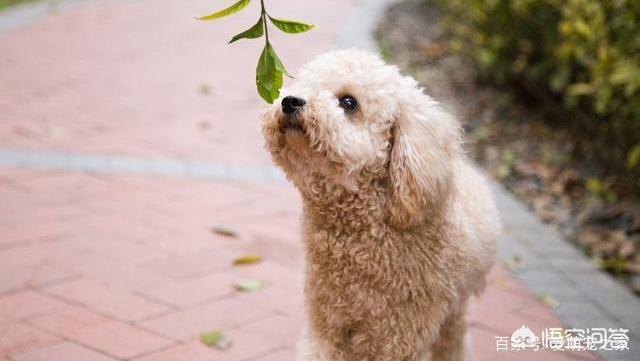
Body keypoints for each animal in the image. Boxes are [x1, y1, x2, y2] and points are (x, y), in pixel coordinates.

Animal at [260, 50, 500, 360]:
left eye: (348, 102)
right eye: (301, 85)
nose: (289, 101)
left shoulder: (400, 338)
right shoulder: (326, 324)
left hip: (454, 310)